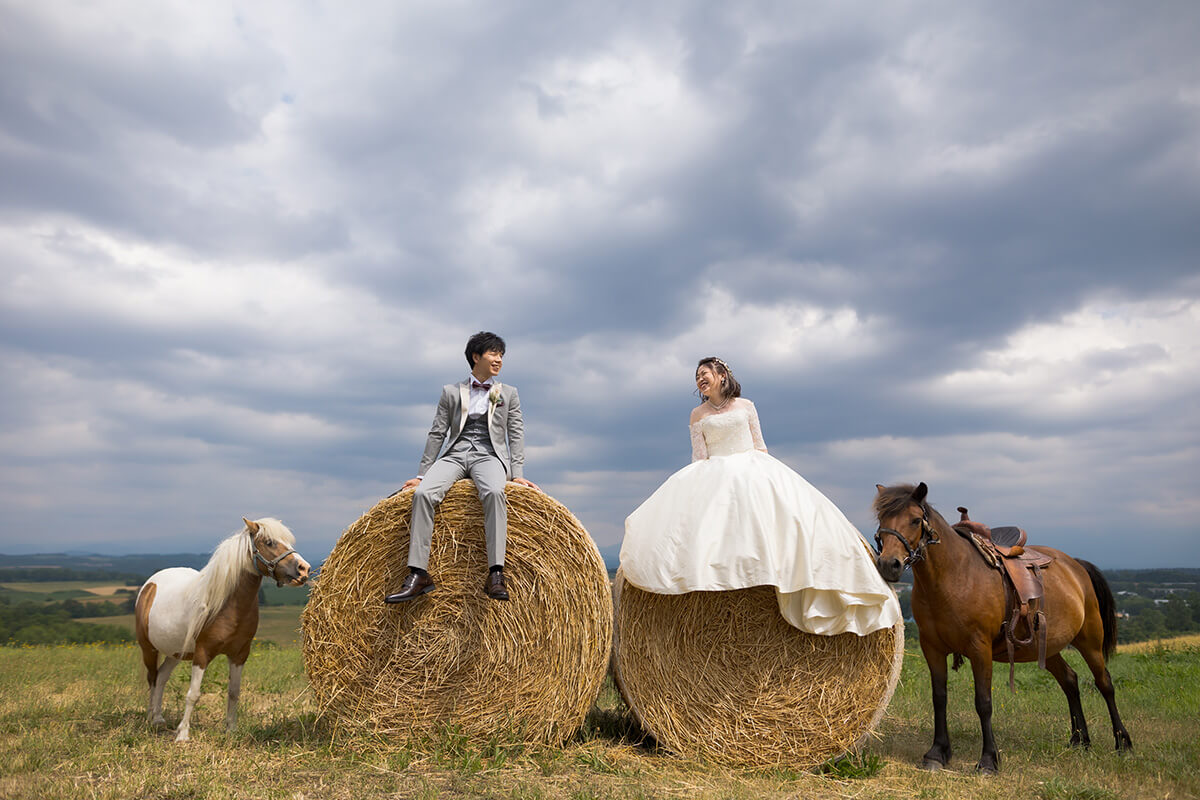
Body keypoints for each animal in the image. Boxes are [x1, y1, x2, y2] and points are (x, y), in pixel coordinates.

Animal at [134, 520, 312, 743]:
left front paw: (231, 730)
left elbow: (234, 692)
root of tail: (150, 584)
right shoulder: (202, 653)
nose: (304, 569)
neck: (228, 604)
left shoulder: (239, 654)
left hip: (176, 652)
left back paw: (158, 718)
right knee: (152, 678)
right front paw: (183, 735)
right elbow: (193, 694)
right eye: (269, 542)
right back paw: (152, 718)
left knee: (161, 677)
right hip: (148, 648)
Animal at [868, 484, 1128, 772]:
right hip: (1047, 648)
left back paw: (1122, 743)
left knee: (1105, 683)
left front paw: (989, 760)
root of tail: (1077, 566)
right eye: (882, 520)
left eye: (915, 520)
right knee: (1070, 681)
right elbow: (939, 697)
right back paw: (1079, 740)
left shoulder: (980, 649)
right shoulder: (932, 648)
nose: (888, 564)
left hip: (1090, 641)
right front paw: (937, 753)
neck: (954, 575)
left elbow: (983, 702)